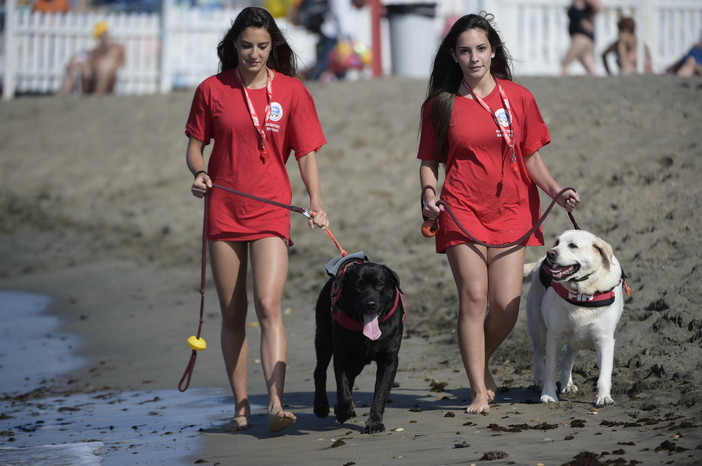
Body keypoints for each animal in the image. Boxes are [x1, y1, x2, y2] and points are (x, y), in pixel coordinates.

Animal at [314, 258, 408, 434]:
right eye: (358, 285)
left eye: (380, 284)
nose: (370, 304)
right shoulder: (341, 356)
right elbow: (342, 389)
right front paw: (344, 411)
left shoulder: (389, 360)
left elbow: (380, 393)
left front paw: (374, 422)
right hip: (323, 338)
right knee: (319, 371)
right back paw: (321, 406)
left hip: (357, 362)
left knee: (350, 377)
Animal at [524, 231, 632, 406]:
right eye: (556, 242)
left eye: (572, 245)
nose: (550, 253)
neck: (582, 292)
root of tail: (538, 263)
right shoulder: (554, 336)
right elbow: (550, 369)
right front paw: (548, 395)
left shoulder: (605, 339)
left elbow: (605, 373)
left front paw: (604, 397)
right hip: (539, 329)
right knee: (537, 353)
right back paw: (539, 379)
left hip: (575, 340)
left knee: (566, 360)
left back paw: (567, 384)